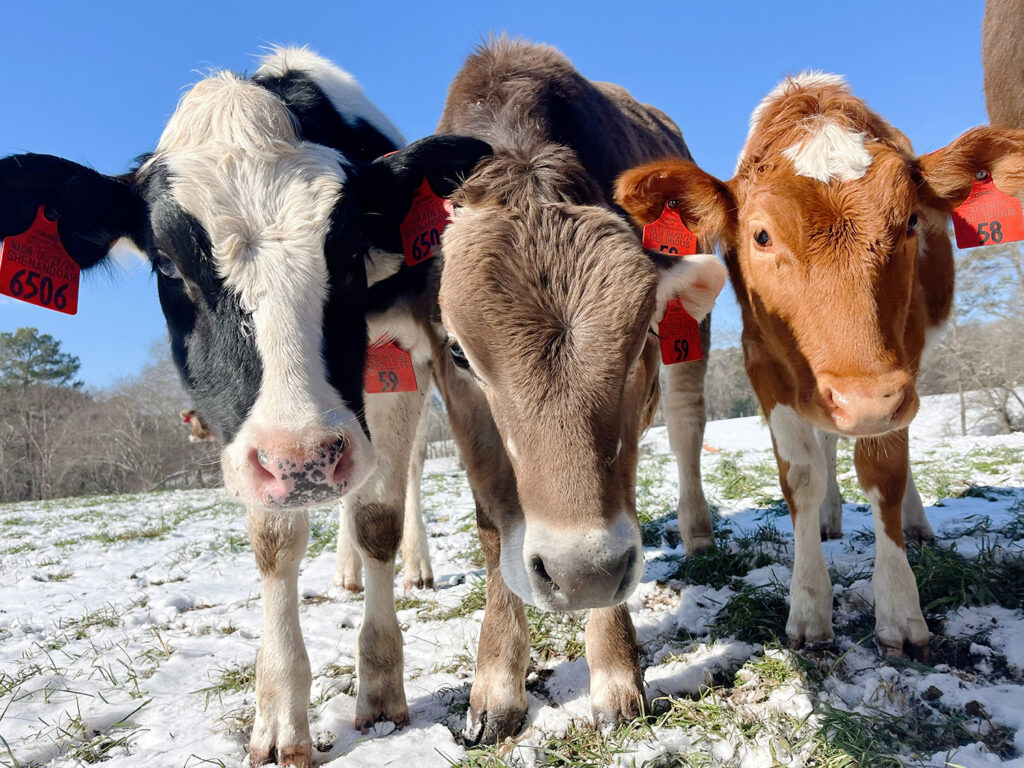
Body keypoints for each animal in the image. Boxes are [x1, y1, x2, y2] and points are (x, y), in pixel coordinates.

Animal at [0, 46, 491, 765]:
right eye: (169, 266)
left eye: (349, 249)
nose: (304, 460)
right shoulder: (252, 445)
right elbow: (275, 543)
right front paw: (282, 715)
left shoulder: (397, 353)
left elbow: (378, 516)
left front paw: (379, 689)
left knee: (404, 474)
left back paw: (414, 565)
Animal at [432, 39, 729, 741]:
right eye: (459, 351)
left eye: (643, 332)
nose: (581, 572)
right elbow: (493, 529)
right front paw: (495, 684)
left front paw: (616, 671)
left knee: (687, 425)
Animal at [618, 73, 1024, 663]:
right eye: (761, 236)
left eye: (910, 222)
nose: (862, 401)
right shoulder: (762, 358)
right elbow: (802, 476)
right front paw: (809, 607)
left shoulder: (899, 365)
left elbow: (886, 473)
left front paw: (900, 610)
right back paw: (831, 516)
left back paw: (916, 522)